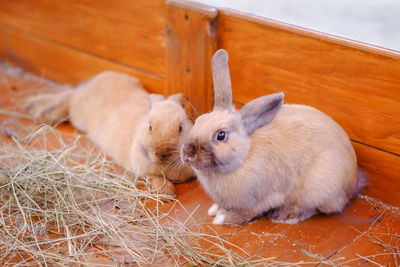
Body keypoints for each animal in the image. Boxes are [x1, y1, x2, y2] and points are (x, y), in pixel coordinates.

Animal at [24, 71, 196, 199]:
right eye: (150, 127)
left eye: (181, 127)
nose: (163, 152)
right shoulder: (145, 171)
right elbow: (156, 179)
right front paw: (168, 194)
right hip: (77, 108)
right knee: (68, 97)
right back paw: (40, 113)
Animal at [180, 49, 364, 225]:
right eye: (198, 121)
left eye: (221, 135)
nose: (187, 153)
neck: (243, 157)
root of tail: (353, 181)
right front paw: (215, 209)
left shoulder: (255, 202)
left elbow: (243, 215)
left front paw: (222, 218)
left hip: (318, 187)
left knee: (311, 208)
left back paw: (285, 216)